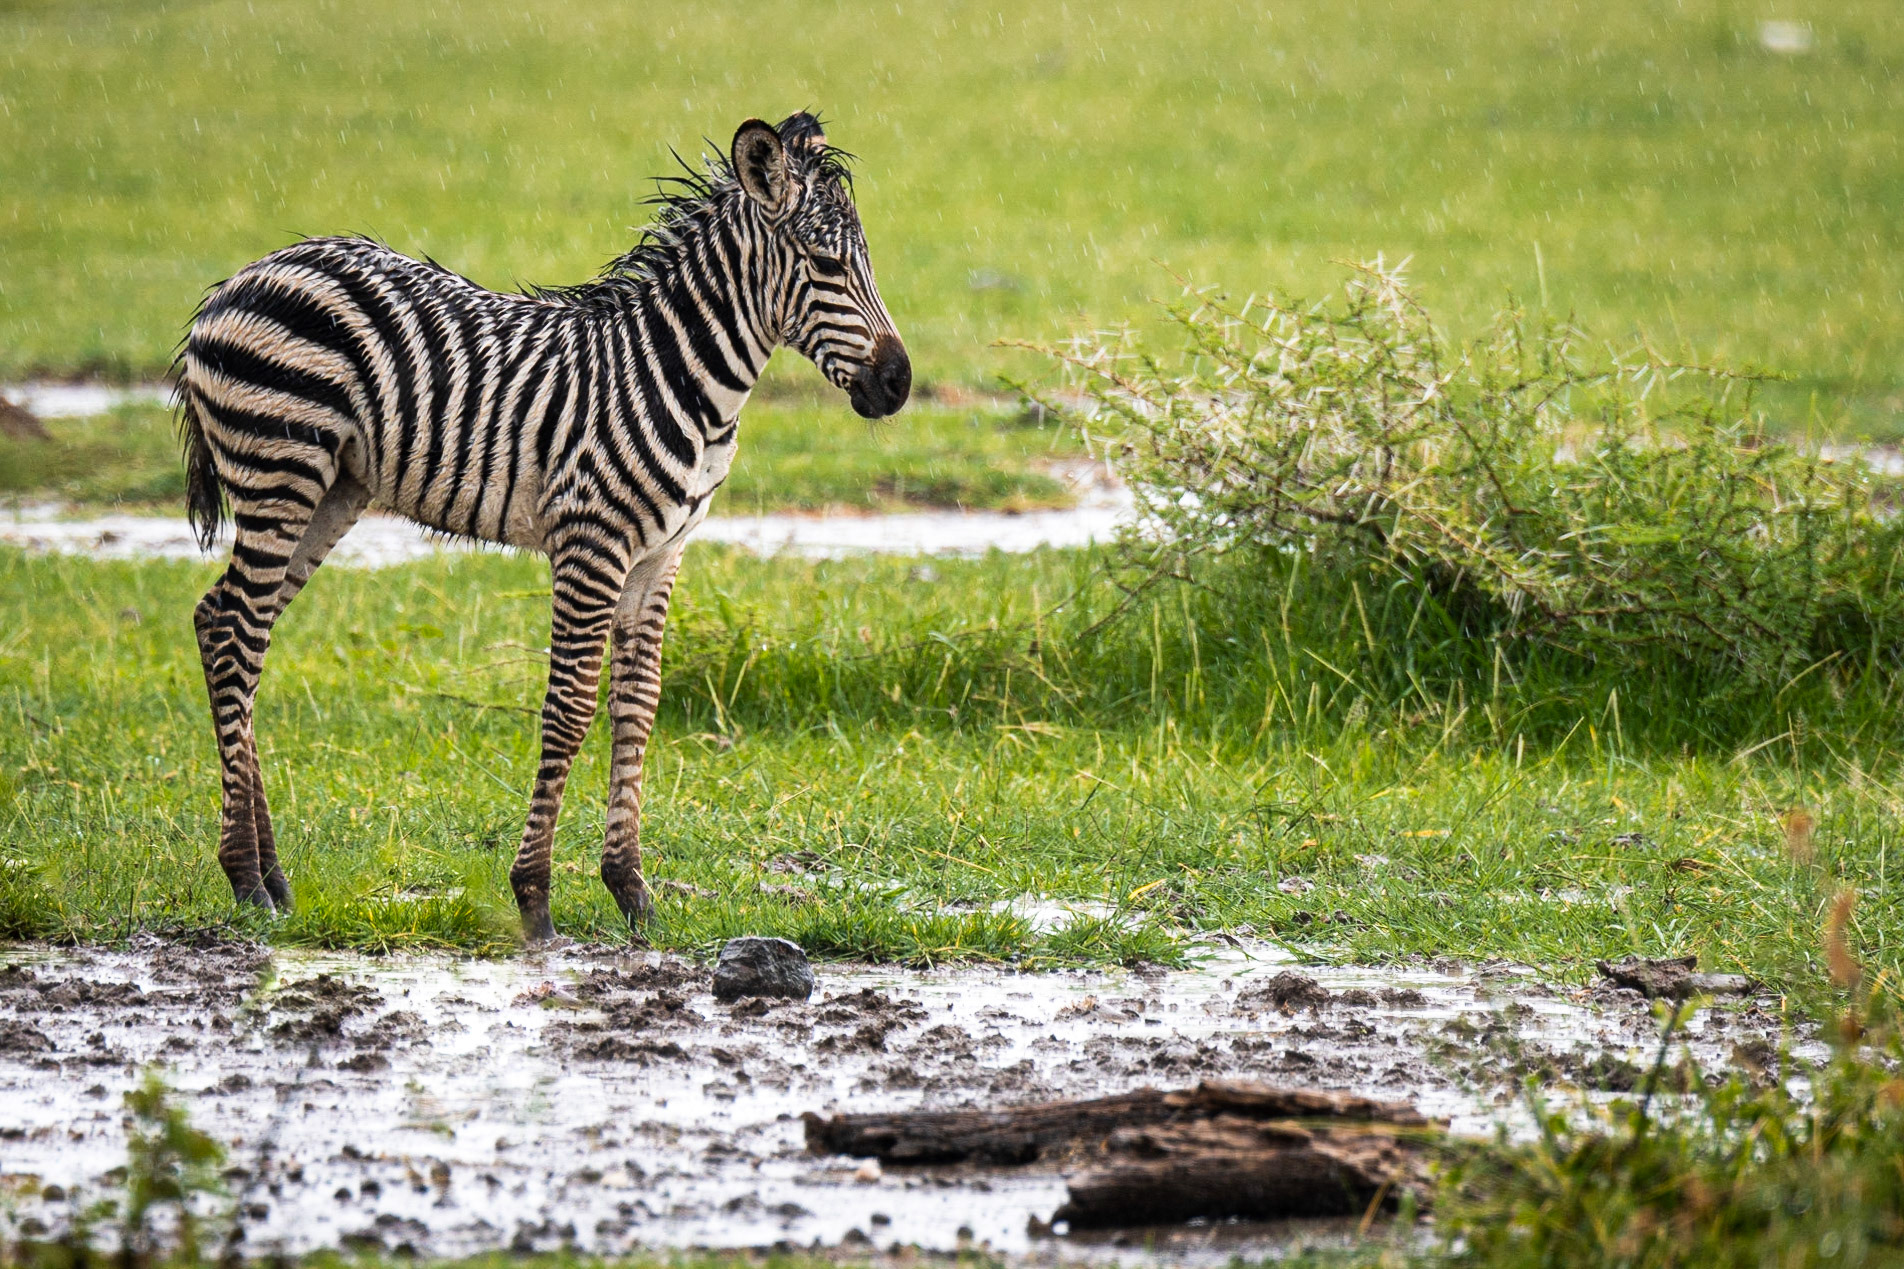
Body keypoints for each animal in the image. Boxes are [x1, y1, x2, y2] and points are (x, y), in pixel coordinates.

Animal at [176, 113, 910, 941]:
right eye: (825, 262)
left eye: (865, 261)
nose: (899, 383)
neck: (685, 378)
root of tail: (244, 277)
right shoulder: (592, 542)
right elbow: (569, 708)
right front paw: (534, 894)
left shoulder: (660, 555)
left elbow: (638, 706)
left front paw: (632, 890)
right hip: (280, 468)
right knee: (238, 635)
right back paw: (245, 877)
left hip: (333, 488)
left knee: (225, 622)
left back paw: (271, 875)